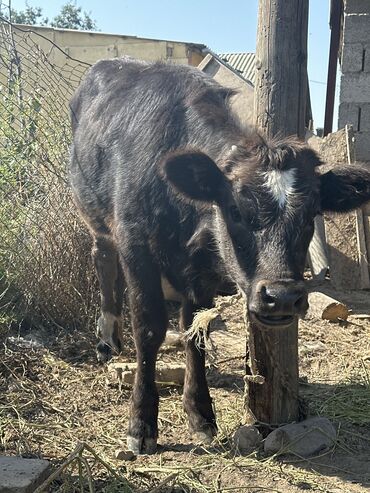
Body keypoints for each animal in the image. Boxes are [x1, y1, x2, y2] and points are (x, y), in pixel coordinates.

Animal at [69, 56, 370, 454]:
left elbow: (196, 331)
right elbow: (149, 329)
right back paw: (107, 338)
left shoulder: (201, 272)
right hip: (95, 215)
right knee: (103, 259)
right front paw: (141, 422)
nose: (282, 297)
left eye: (310, 217)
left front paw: (200, 413)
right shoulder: (136, 245)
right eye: (236, 211)